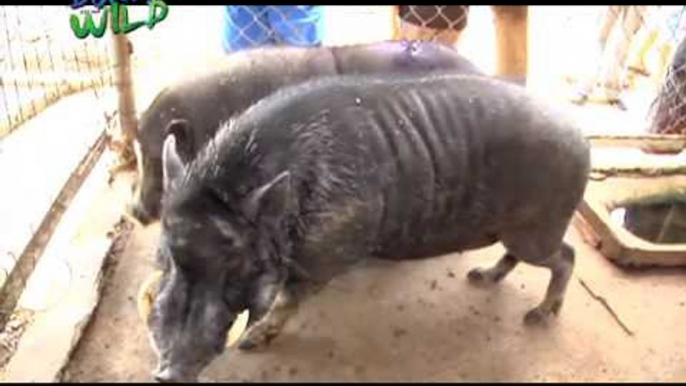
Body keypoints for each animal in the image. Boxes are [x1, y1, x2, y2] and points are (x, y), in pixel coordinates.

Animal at [149, 74, 592, 382]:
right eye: (164, 256)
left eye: (235, 265)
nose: (167, 372)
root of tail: (581, 135)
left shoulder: (326, 253)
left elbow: (287, 301)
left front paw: (250, 343)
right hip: (515, 227)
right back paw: (480, 276)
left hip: (537, 227)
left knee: (567, 256)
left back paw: (538, 316)